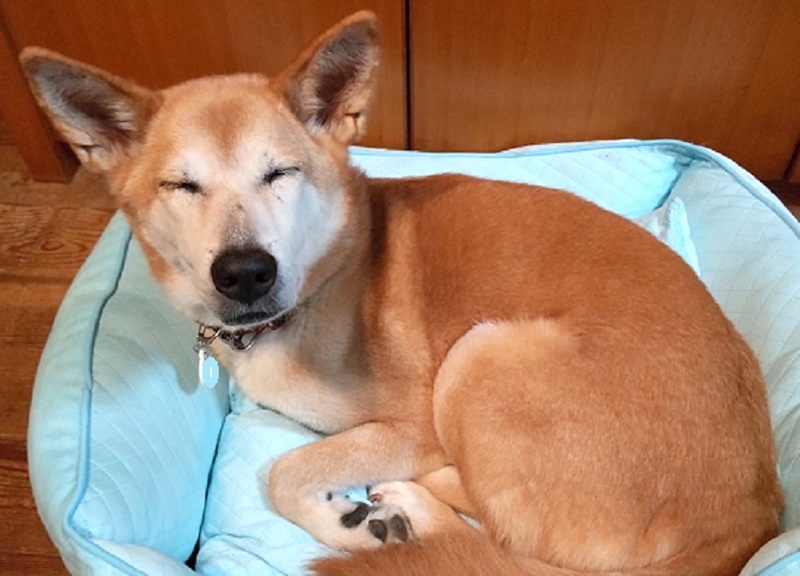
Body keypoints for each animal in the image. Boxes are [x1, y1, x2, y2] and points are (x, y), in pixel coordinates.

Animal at [22, 11, 782, 575]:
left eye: (281, 173)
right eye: (181, 185)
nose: (245, 272)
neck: (326, 274)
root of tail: (748, 522)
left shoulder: (409, 423)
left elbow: (285, 470)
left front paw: (346, 523)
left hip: (481, 358)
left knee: (502, 540)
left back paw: (413, 509)